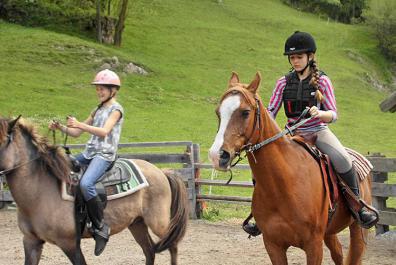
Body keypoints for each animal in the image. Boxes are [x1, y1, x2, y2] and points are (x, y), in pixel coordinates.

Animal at [0, 117, 189, 264]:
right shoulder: (31, 242)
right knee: (149, 251)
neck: (40, 192)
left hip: (159, 223)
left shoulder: (70, 244)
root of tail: (161, 171)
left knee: (172, 245)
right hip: (137, 223)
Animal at [209, 71, 372, 262]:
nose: (217, 155)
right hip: (329, 232)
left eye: (245, 112)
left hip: (358, 230)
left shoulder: (314, 246)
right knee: (338, 253)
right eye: (218, 113)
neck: (284, 184)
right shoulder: (273, 245)